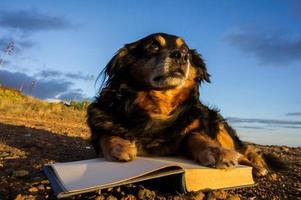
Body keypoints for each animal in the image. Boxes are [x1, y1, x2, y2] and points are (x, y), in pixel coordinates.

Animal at [86, 32, 278, 177]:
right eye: (153, 45)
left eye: (186, 51)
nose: (181, 56)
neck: (159, 107)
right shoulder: (100, 120)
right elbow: (105, 135)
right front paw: (120, 145)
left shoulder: (195, 128)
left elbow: (195, 136)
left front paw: (216, 152)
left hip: (219, 126)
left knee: (244, 152)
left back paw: (258, 167)